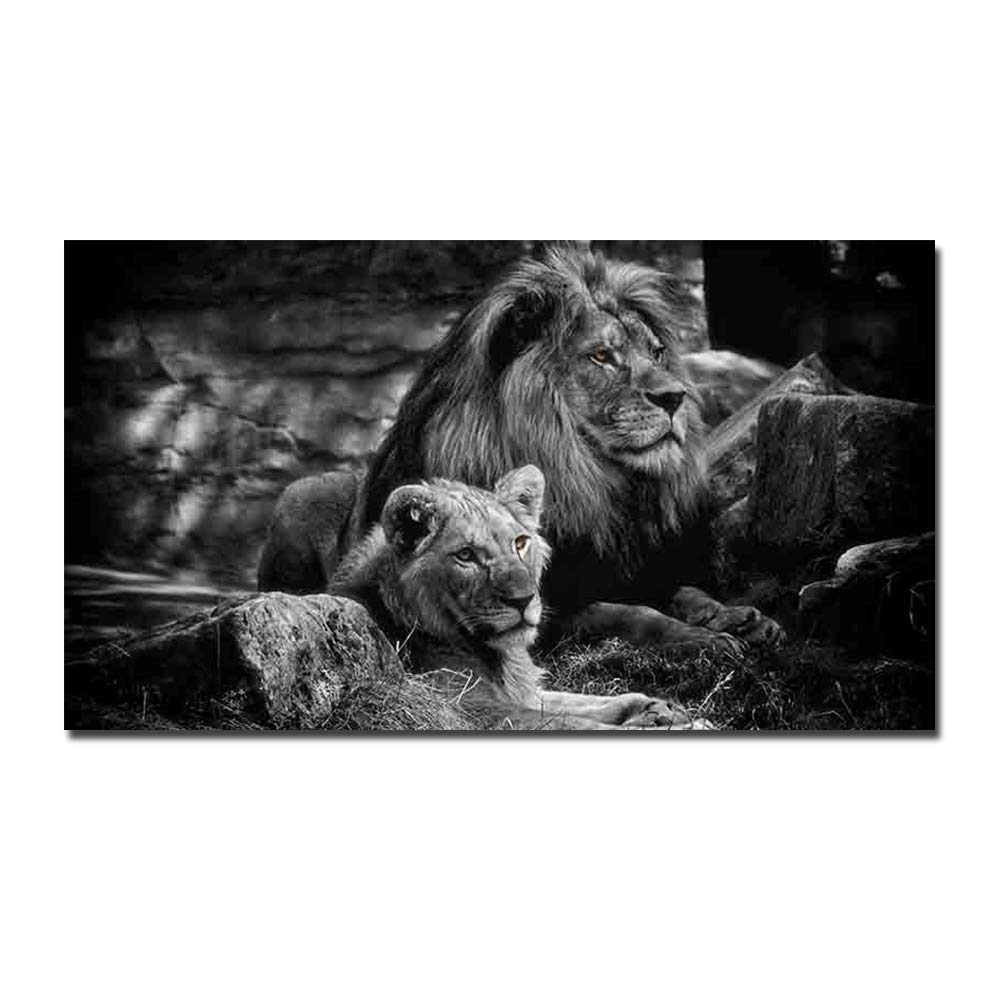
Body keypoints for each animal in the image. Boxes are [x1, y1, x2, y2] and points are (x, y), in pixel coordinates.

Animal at [259, 243, 783, 651]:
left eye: (656, 353)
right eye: (602, 356)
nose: (676, 397)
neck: (591, 482)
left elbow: (682, 591)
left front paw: (733, 616)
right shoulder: (538, 612)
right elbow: (627, 613)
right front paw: (700, 638)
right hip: (304, 492)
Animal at [330, 464, 705, 729]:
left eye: (520, 543)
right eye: (465, 556)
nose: (523, 599)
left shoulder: (524, 693)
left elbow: (579, 702)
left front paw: (655, 709)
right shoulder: (466, 711)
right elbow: (569, 722)